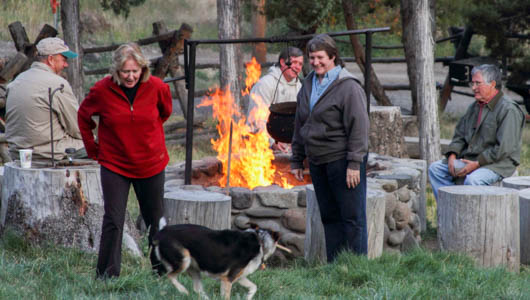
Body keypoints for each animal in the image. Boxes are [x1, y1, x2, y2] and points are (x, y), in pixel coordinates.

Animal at [151, 220, 286, 300]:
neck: (260, 241)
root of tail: (161, 233)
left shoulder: (237, 277)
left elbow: (254, 287)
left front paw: (248, 297)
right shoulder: (228, 279)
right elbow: (227, 296)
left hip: (194, 267)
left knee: (197, 289)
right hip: (184, 259)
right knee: (170, 276)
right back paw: (183, 291)